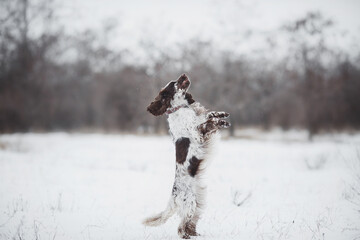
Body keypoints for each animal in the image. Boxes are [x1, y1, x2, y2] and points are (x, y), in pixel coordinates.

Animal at [142, 74, 229, 239]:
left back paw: (198, 235)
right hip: (190, 204)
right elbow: (206, 122)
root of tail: (173, 198)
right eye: (174, 83)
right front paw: (220, 121)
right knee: (181, 228)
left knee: (190, 225)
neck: (181, 108)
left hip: (197, 203)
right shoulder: (196, 132)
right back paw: (189, 236)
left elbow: (208, 116)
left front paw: (222, 115)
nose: (184, 75)